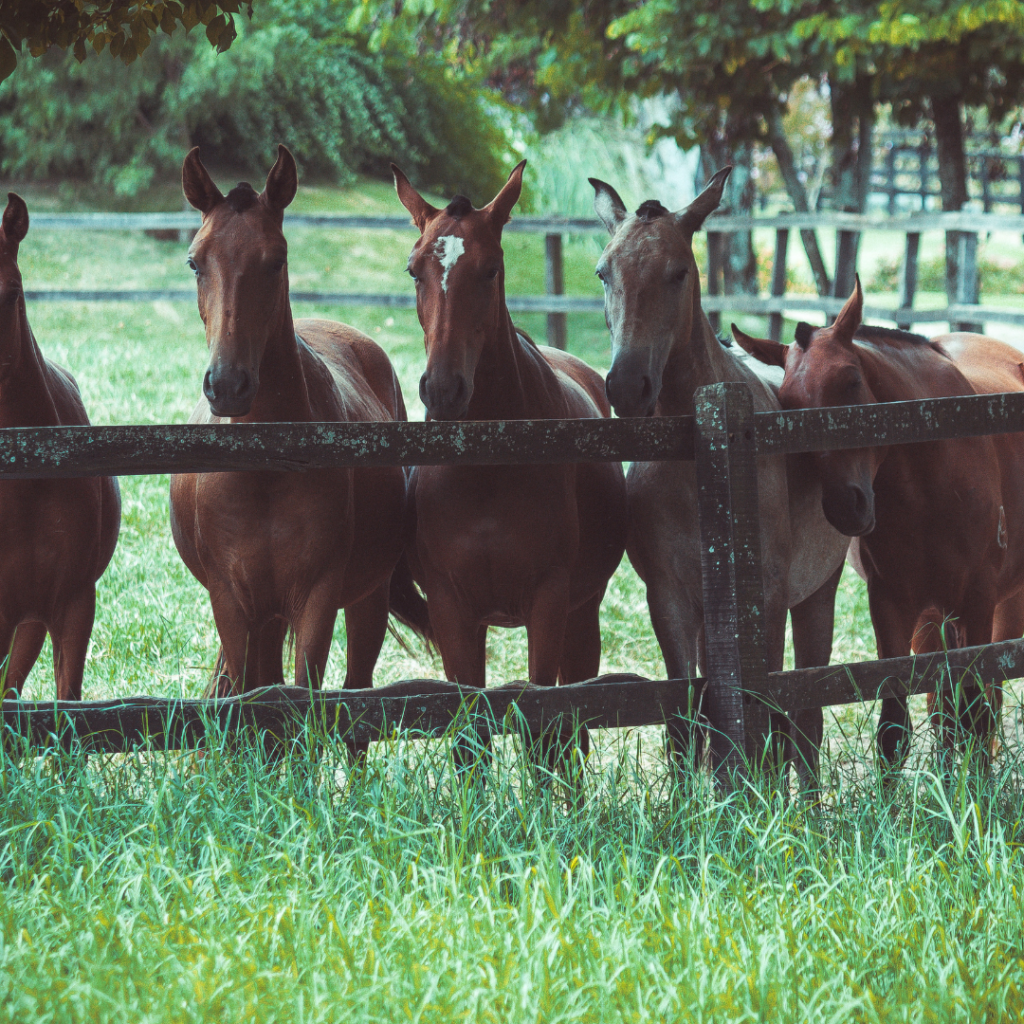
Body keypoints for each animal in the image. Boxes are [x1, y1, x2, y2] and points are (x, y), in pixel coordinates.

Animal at [169, 144, 425, 704]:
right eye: (195, 261)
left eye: (277, 259)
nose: (228, 385)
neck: (267, 467)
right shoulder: (233, 604)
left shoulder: (317, 598)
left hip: (367, 598)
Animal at [391, 161, 626, 770]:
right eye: (414, 270)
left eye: (490, 269)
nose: (443, 389)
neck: (487, 469)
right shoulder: (452, 610)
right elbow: (469, 739)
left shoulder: (548, 602)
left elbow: (545, 730)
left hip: (582, 615)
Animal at [589, 169, 843, 782]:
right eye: (604, 272)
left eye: (679, 271)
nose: (627, 387)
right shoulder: (671, 599)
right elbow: (686, 721)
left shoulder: (765, 601)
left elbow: (766, 720)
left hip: (816, 594)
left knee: (807, 721)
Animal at [733, 280, 1024, 770]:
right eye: (789, 406)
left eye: (851, 380)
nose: (844, 507)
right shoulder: (892, 605)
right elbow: (895, 728)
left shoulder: (978, 601)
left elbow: (976, 715)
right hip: (933, 617)